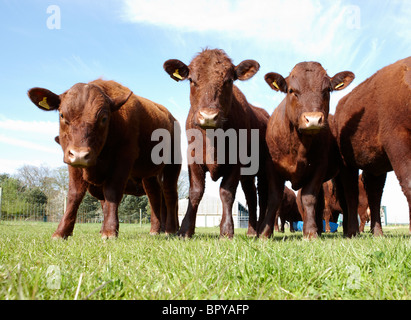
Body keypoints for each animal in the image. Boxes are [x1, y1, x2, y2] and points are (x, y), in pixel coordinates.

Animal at [27, 80, 182, 238]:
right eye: (62, 115)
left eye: (104, 118)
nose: (80, 154)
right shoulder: (72, 163)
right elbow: (75, 196)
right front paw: (61, 231)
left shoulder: (124, 159)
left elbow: (112, 193)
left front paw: (109, 230)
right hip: (149, 173)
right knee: (154, 196)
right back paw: (155, 230)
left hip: (173, 164)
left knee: (170, 195)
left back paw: (171, 230)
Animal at [164, 48, 270, 238]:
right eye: (191, 80)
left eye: (228, 81)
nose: (208, 116)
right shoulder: (193, 158)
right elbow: (195, 192)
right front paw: (185, 230)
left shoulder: (235, 162)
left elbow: (226, 192)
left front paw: (226, 231)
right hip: (248, 174)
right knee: (251, 195)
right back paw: (251, 231)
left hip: (262, 169)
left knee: (261, 197)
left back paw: (259, 231)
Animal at [260, 61, 354, 239]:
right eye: (291, 90)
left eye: (327, 90)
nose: (313, 119)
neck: (299, 145)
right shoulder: (272, 167)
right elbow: (274, 199)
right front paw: (264, 233)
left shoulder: (319, 167)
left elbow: (309, 198)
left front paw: (310, 232)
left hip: (344, 171)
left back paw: (350, 231)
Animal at [334, 55, 410, 235]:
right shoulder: (397, 141)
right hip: (347, 163)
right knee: (352, 194)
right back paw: (352, 231)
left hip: (375, 163)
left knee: (374, 194)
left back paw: (377, 232)